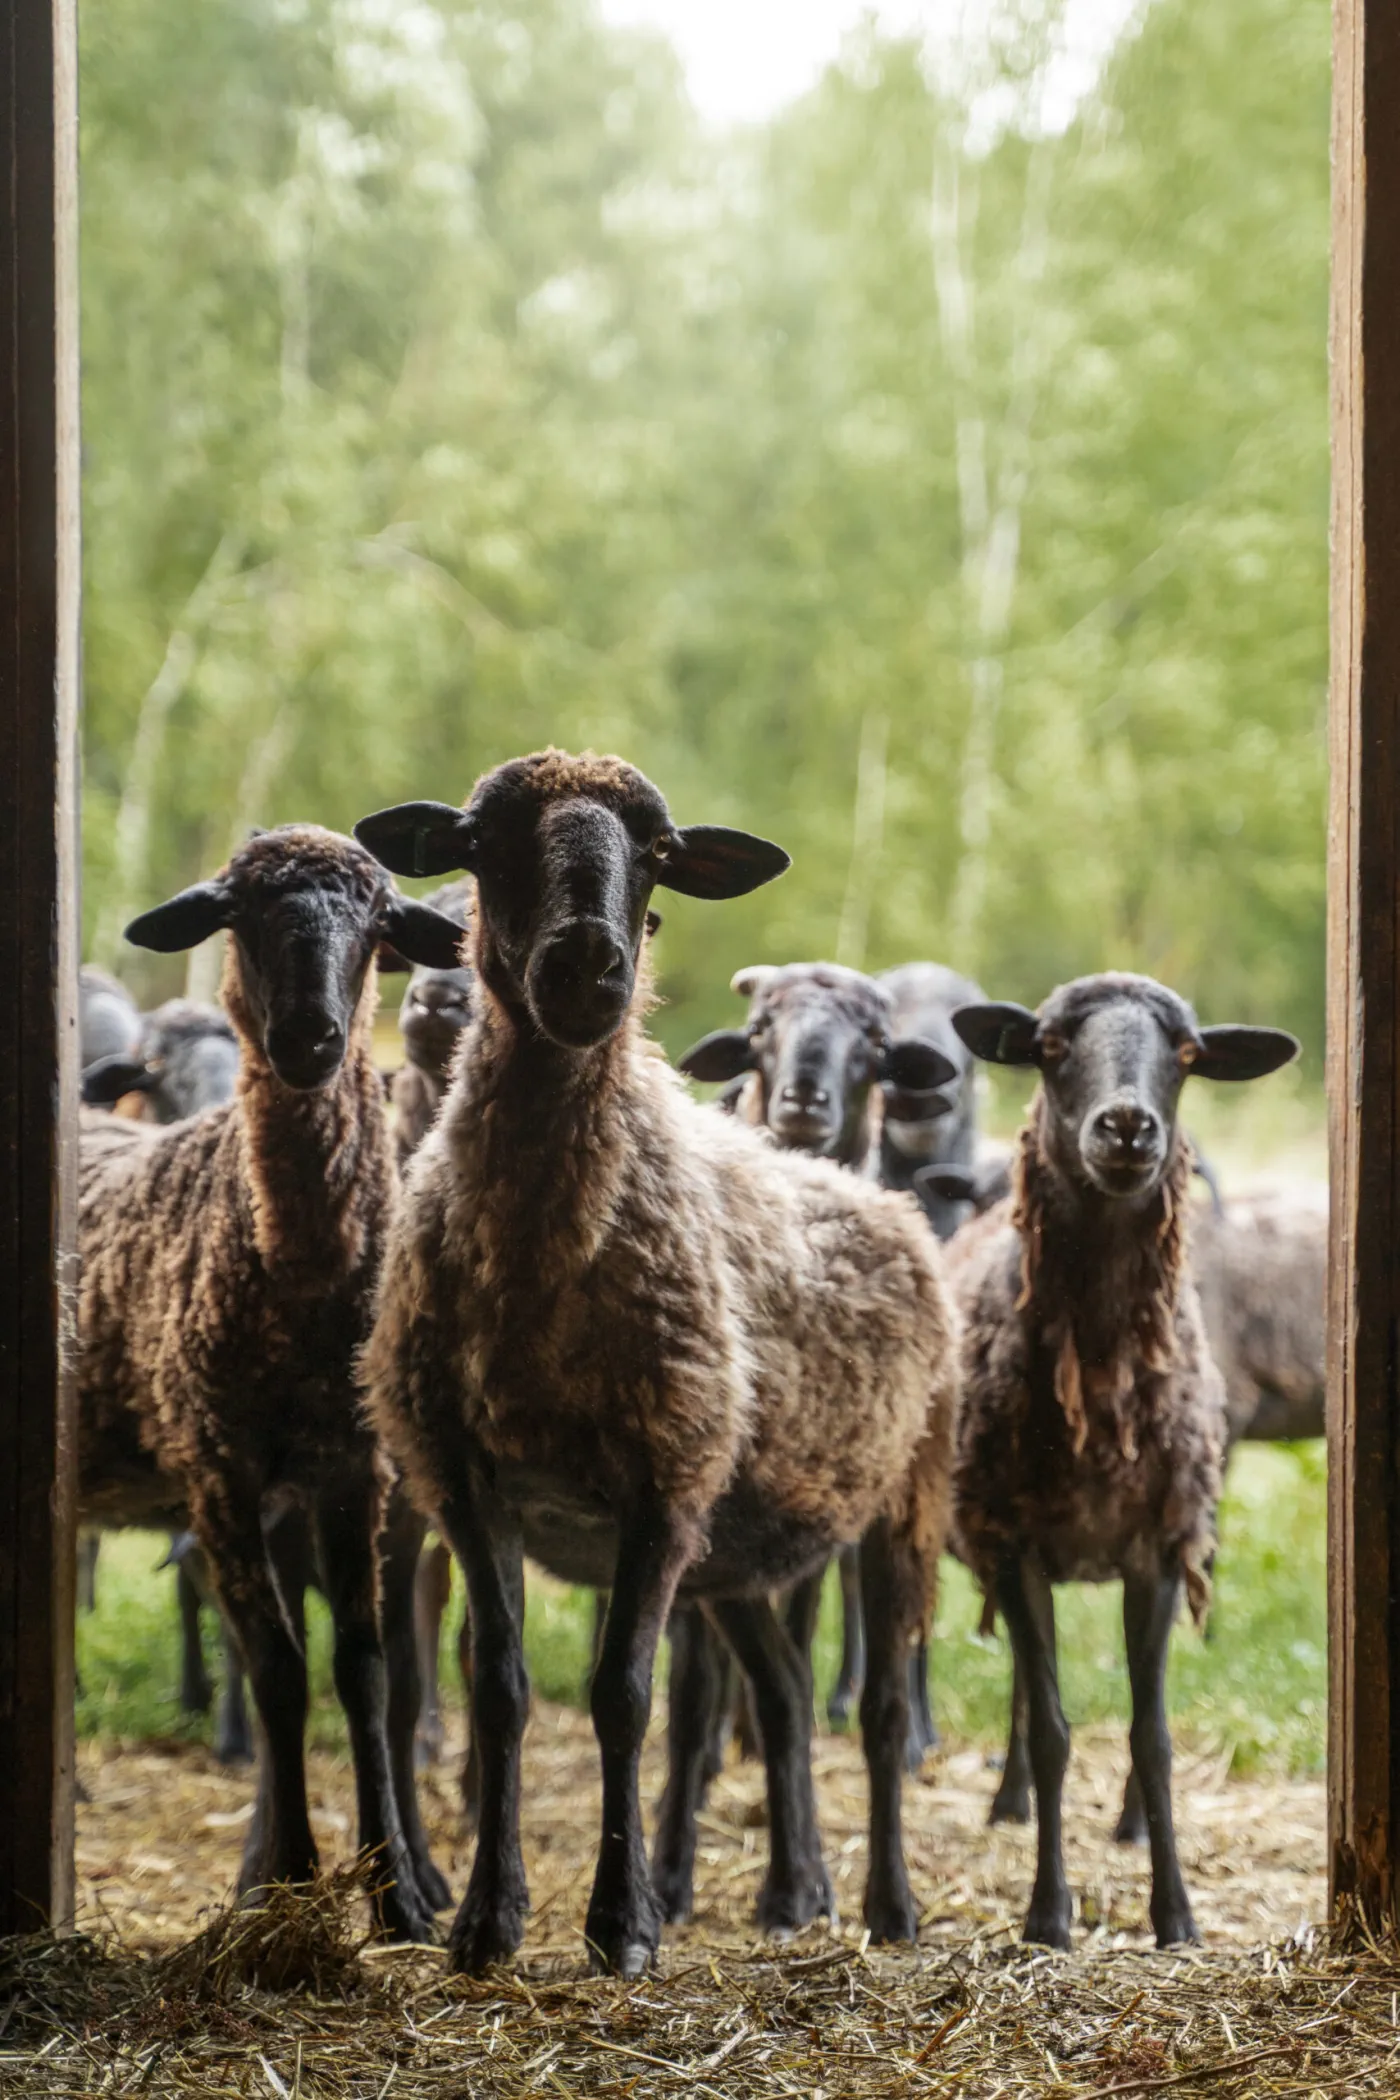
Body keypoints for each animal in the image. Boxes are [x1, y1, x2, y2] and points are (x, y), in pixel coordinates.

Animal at [77, 825, 464, 1938]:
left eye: (377, 921)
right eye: (240, 914)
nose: (310, 1038)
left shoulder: (354, 1472)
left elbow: (364, 1671)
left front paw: (397, 1899)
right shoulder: (218, 1468)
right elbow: (281, 1672)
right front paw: (287, 1882)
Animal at [354, 750, 960, 1976]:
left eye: (663, 854)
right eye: (481, 841)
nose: (589, 961)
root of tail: (882, 1197)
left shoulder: (664, 1472)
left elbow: (624, 1697)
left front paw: (622, 1925)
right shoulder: (464, 1472)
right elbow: (499, 1690)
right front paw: (487, 1922)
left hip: (899, 1498)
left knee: (876, 1714)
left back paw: (889, 1907)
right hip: (737, 1546)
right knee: (782, 1691)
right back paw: (796, 1894)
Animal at [946, 972, 1297, 1948]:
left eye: (1186, 1053)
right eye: (1050, 1047)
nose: (1129, 1127)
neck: (1100, 1384)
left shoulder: (1158, 1549)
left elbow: (1153, 1736)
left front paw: (1175, 1915)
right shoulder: (1017, 1544)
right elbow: (1054, 1730)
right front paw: (1047, 1915)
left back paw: (1131, 1823)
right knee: (1025, 1697)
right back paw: (1010, 1803)